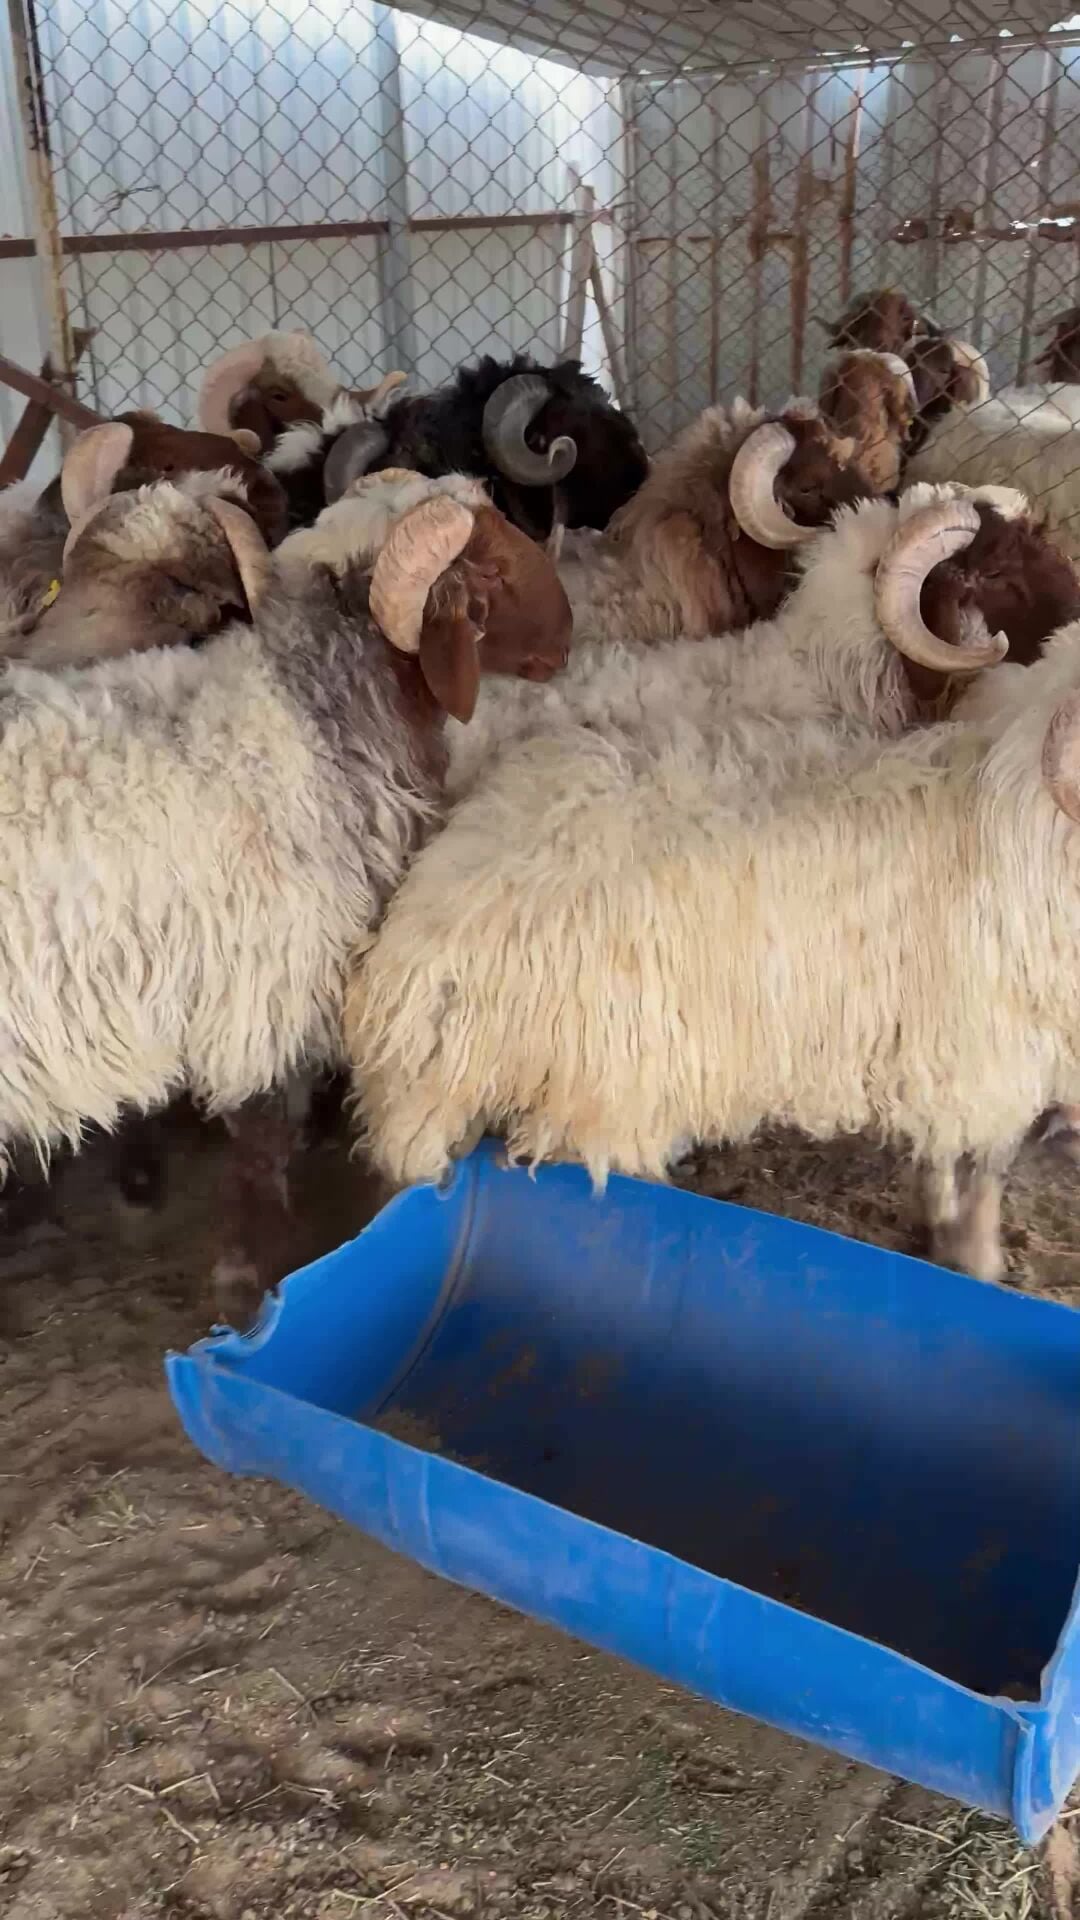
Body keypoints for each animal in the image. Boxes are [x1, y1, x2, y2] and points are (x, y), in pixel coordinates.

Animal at [0, 467, 571, 1309]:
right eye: (491, 575)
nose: (567, 639)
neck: (312, 712)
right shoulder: (262, 986)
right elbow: (262, 1138)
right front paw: (251, 1279)